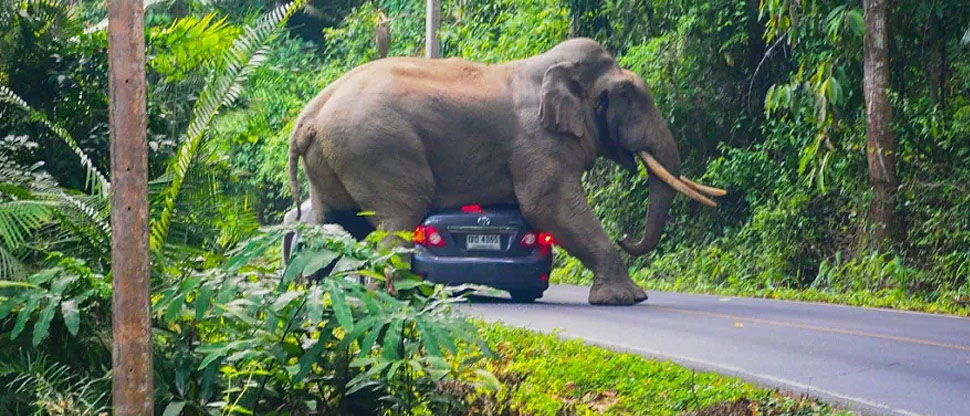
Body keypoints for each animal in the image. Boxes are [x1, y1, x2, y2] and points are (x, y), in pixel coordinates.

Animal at [286, 38, 724, 305]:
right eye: (630, 97)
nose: (627, 236)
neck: (550, 66)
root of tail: (308, 115)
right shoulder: (537, 142)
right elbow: (548, 207)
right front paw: (627, 299)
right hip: (377, 149)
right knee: (399, 215)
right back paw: (391, 297)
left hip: (335, 159)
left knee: (333, 222)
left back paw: (312, 292)